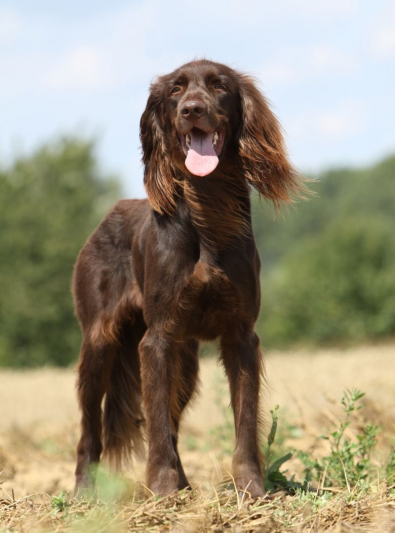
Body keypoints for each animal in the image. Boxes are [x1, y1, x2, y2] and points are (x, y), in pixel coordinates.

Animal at [73, 60, 304, 496]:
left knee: (174, 421)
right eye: (176, 90)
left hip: (187, 361)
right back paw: (83, 493)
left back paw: (183, 484)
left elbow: (244, 418)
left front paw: (251, 488)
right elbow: (157, 422)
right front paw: (161, 490)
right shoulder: (158, 338)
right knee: (90, 431)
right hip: (99, 344)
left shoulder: (240, 336)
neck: (208, 207)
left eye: (218, 86)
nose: (192, 110)